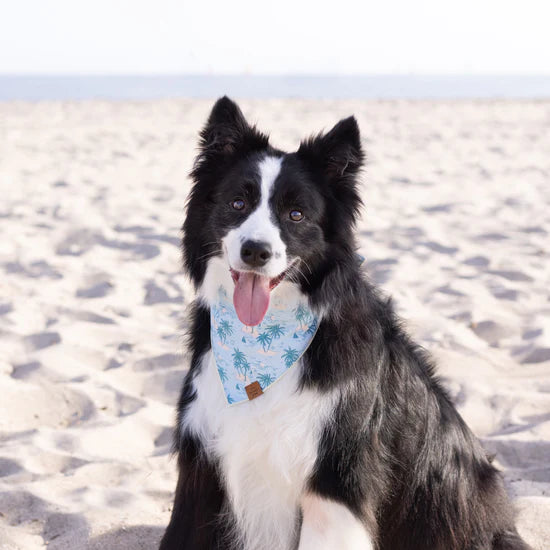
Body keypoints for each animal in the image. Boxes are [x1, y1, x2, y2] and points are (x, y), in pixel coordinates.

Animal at [160, 97, 532, 548]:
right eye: (237, 203)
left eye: (296, 214)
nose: (255, 252)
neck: (260, 349)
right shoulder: (202, 465)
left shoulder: (334, 482)